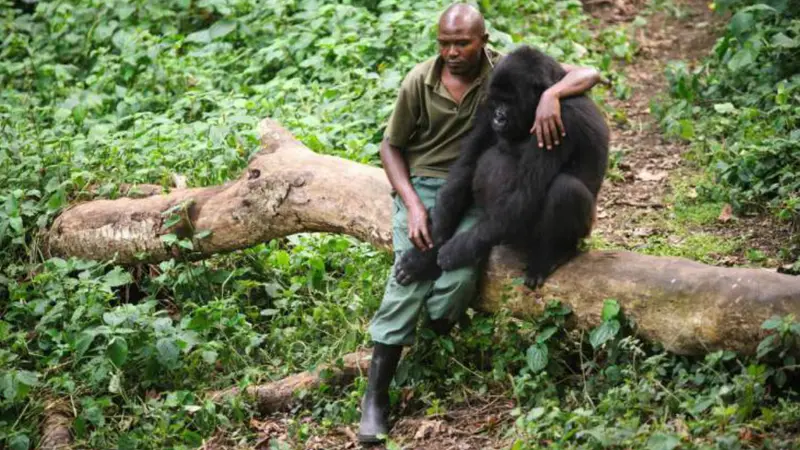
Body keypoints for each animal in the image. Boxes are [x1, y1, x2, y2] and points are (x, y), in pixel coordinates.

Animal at [396, 44, 608, 288]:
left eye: (509, 101)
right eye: (497, 101)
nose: (498, 117)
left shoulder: (560, 116)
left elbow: (525, 193)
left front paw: (457, 251)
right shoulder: (485, 106)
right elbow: (466, 167)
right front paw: (425, 255)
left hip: (581, 232)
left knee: (565, 188)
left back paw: (552, 255)